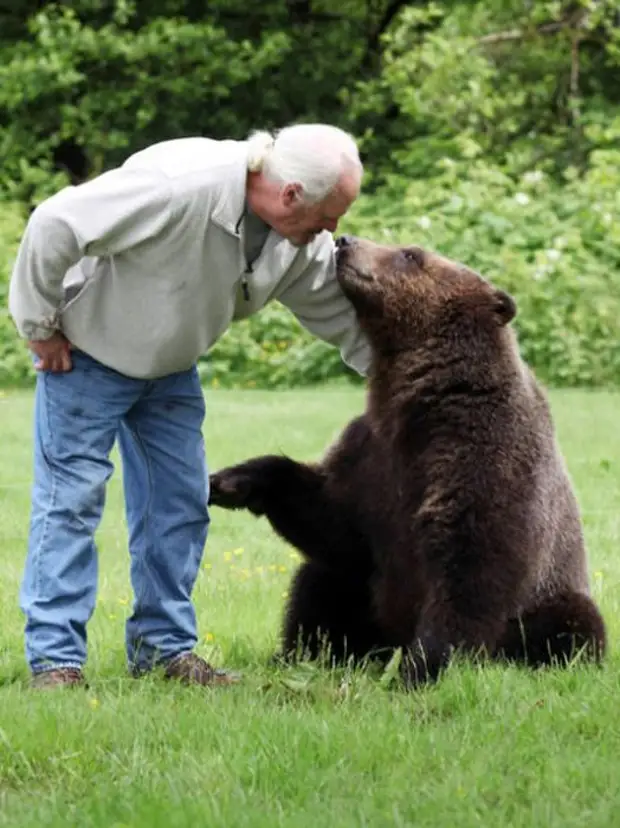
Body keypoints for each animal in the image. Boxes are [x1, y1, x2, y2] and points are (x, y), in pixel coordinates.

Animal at [207, 233, 604, 684]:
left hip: (553, 597)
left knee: (571, 625)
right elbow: (334, 519)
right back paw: (301, 653)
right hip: (364, 599)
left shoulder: (484, 454)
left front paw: (424, 666)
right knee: (320, 583)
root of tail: (388, 641)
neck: (419, 402)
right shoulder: (372, 452)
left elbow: (475, 566)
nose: (345, 241)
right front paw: (232, 481)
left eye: (411, 254)